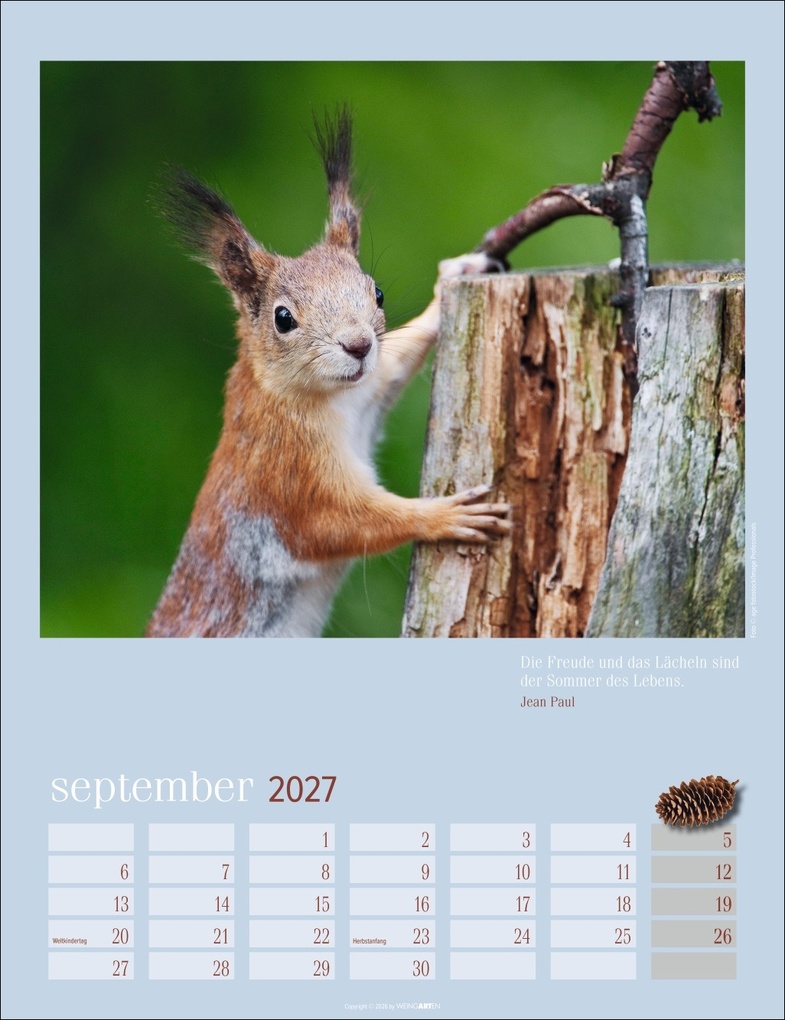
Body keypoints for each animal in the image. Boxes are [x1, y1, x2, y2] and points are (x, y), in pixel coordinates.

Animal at [146, 110, 510, 638]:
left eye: (376, 292)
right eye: (283, 318)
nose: (358, 345)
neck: (329, 399)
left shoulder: (370, 387)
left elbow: (396, 360)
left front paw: (453, 278)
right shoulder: (290, 476)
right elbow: (346, 522)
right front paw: (444, 515)